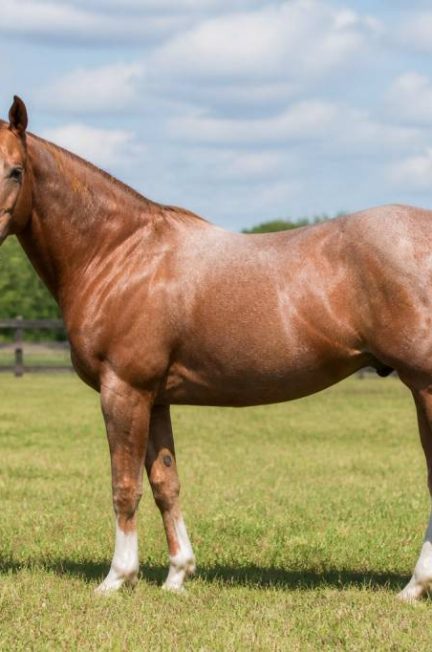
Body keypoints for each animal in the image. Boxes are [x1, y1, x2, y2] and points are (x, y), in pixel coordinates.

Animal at [1, 96, 432, 601]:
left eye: (15, 171)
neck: (119, 254)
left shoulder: (123, 390)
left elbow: (124, 486)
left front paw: (117, 578)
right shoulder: (155, 397)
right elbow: (165, 483)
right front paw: (177, 574)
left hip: (425, 387)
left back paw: (415, 586)